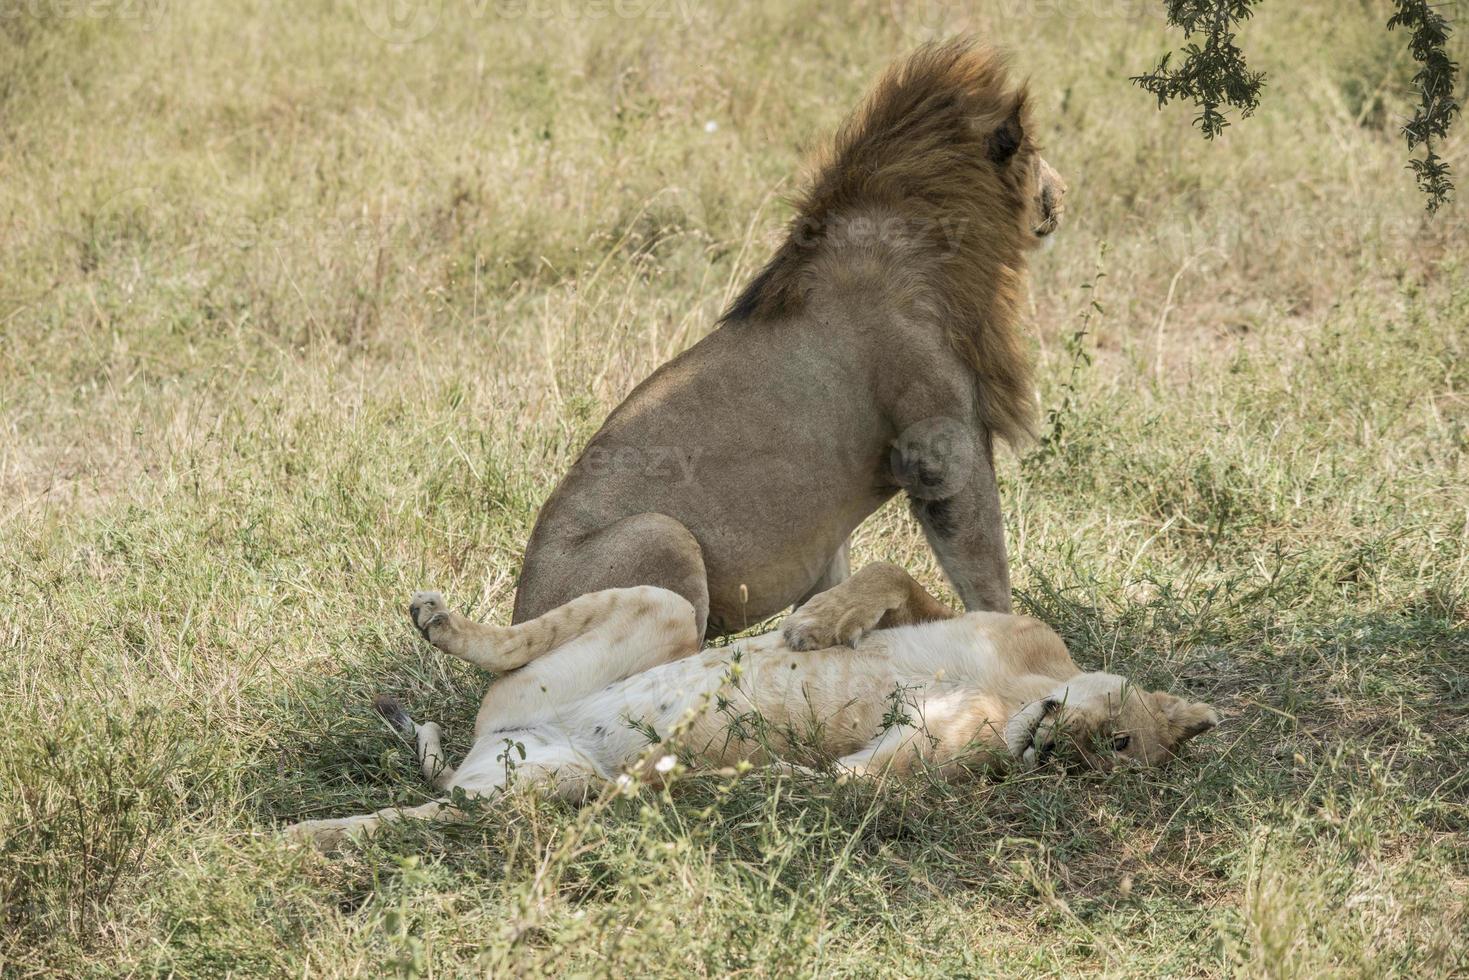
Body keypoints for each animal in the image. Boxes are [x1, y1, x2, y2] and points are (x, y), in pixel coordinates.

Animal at [286, 567, 1216, 852]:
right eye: (1119, 740)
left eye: (1111, 762)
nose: (1059, 753)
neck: (1016, 695)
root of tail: (491, 750)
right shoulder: (989, 624)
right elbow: (888, 575)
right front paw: (815, 625)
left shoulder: (881, 772)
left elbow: (835, 783)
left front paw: (717, 782)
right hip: (660, 610)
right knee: (506, 650)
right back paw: (436, 624)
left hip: (537, 793)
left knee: (414, 817)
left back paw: (294, 839)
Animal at [514, 38, 1069, 655]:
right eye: (1036, 151)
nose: (1063, 191)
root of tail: (517, 617)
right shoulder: (941, 444)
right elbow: (985, 571)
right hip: (660, 535)